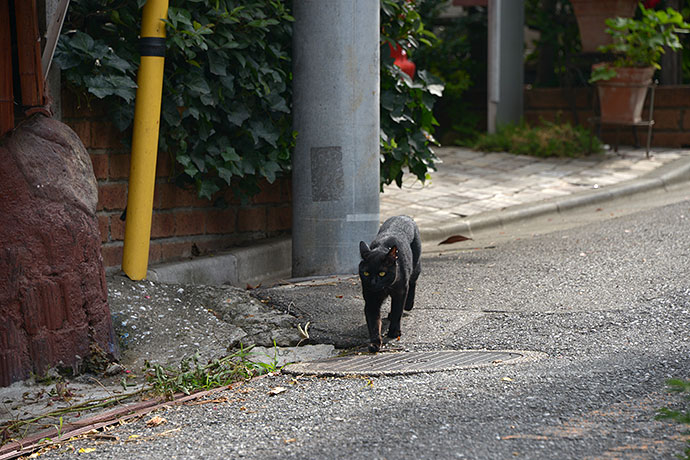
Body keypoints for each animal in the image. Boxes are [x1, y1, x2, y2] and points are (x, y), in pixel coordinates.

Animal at [360, 216, 420, 352]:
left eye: (382, 273)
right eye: (366, 273)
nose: (373, 283)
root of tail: (404, 216)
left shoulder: (400, 292)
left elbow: (397, 310)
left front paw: (394, 332)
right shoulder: (371, 299)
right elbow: (373, 322)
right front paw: (375, 343)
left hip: (415, 267)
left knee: (412, 282)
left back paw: (408, 304)